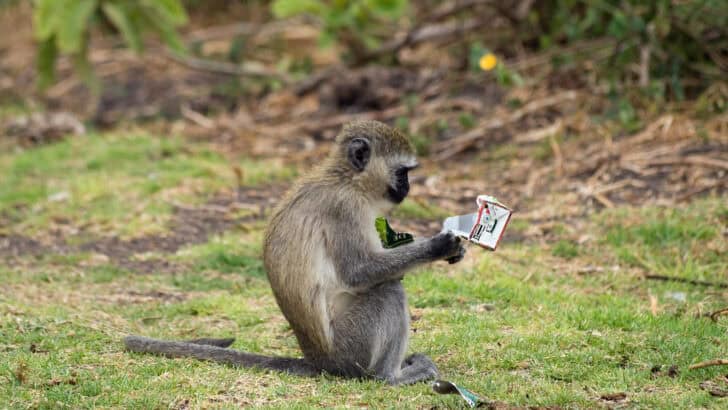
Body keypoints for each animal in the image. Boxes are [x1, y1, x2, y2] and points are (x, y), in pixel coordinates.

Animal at [124, 120, 466, 385]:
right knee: (388, 290)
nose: (409, 188)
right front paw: (440, 245)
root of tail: (319, 360)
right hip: (351, 348)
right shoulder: (345, 208)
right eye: (403, 172)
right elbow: (359, 272)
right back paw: (391, 377)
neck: (347, 179)